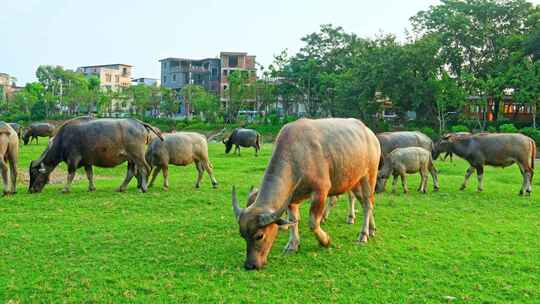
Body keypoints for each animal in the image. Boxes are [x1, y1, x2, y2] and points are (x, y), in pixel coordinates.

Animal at [28, 117, 161, 194]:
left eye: (34, 174)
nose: (31, 190)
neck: (63, 139)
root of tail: (139, 123)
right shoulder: (87, 162)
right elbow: (89, 175)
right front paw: (91, 188)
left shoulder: (73, 160)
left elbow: (70, 175)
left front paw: (65, 189)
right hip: (131, 159)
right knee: (131, 172)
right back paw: (121, 188)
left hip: (137, 155)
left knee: (145, 168)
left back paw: (143, 188)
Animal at [231, 117, 380, 270]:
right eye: (242, 235)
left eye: (259, 236)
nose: (250, 265)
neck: (297, 155)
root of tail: (370, 134)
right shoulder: (291, 198)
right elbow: (293, 220)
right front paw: (292, 245)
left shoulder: (320, 191)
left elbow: (313, 222)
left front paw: (325, 241)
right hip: (354, 180)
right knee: (365, 202)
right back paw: (371, 228)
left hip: (369, 176)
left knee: (367, 204)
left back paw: (363, 234)